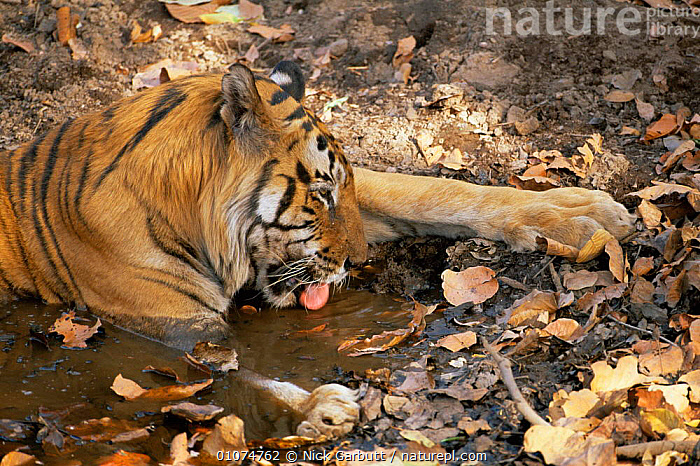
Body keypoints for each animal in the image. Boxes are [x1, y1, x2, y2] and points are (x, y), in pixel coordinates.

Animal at [0, 62, 636, 436]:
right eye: (321, 193)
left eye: (339, 189)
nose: (357, 261)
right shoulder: (181, 330)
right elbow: (239, 381)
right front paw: (321, 409)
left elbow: (436, 190)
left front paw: (583, 213)